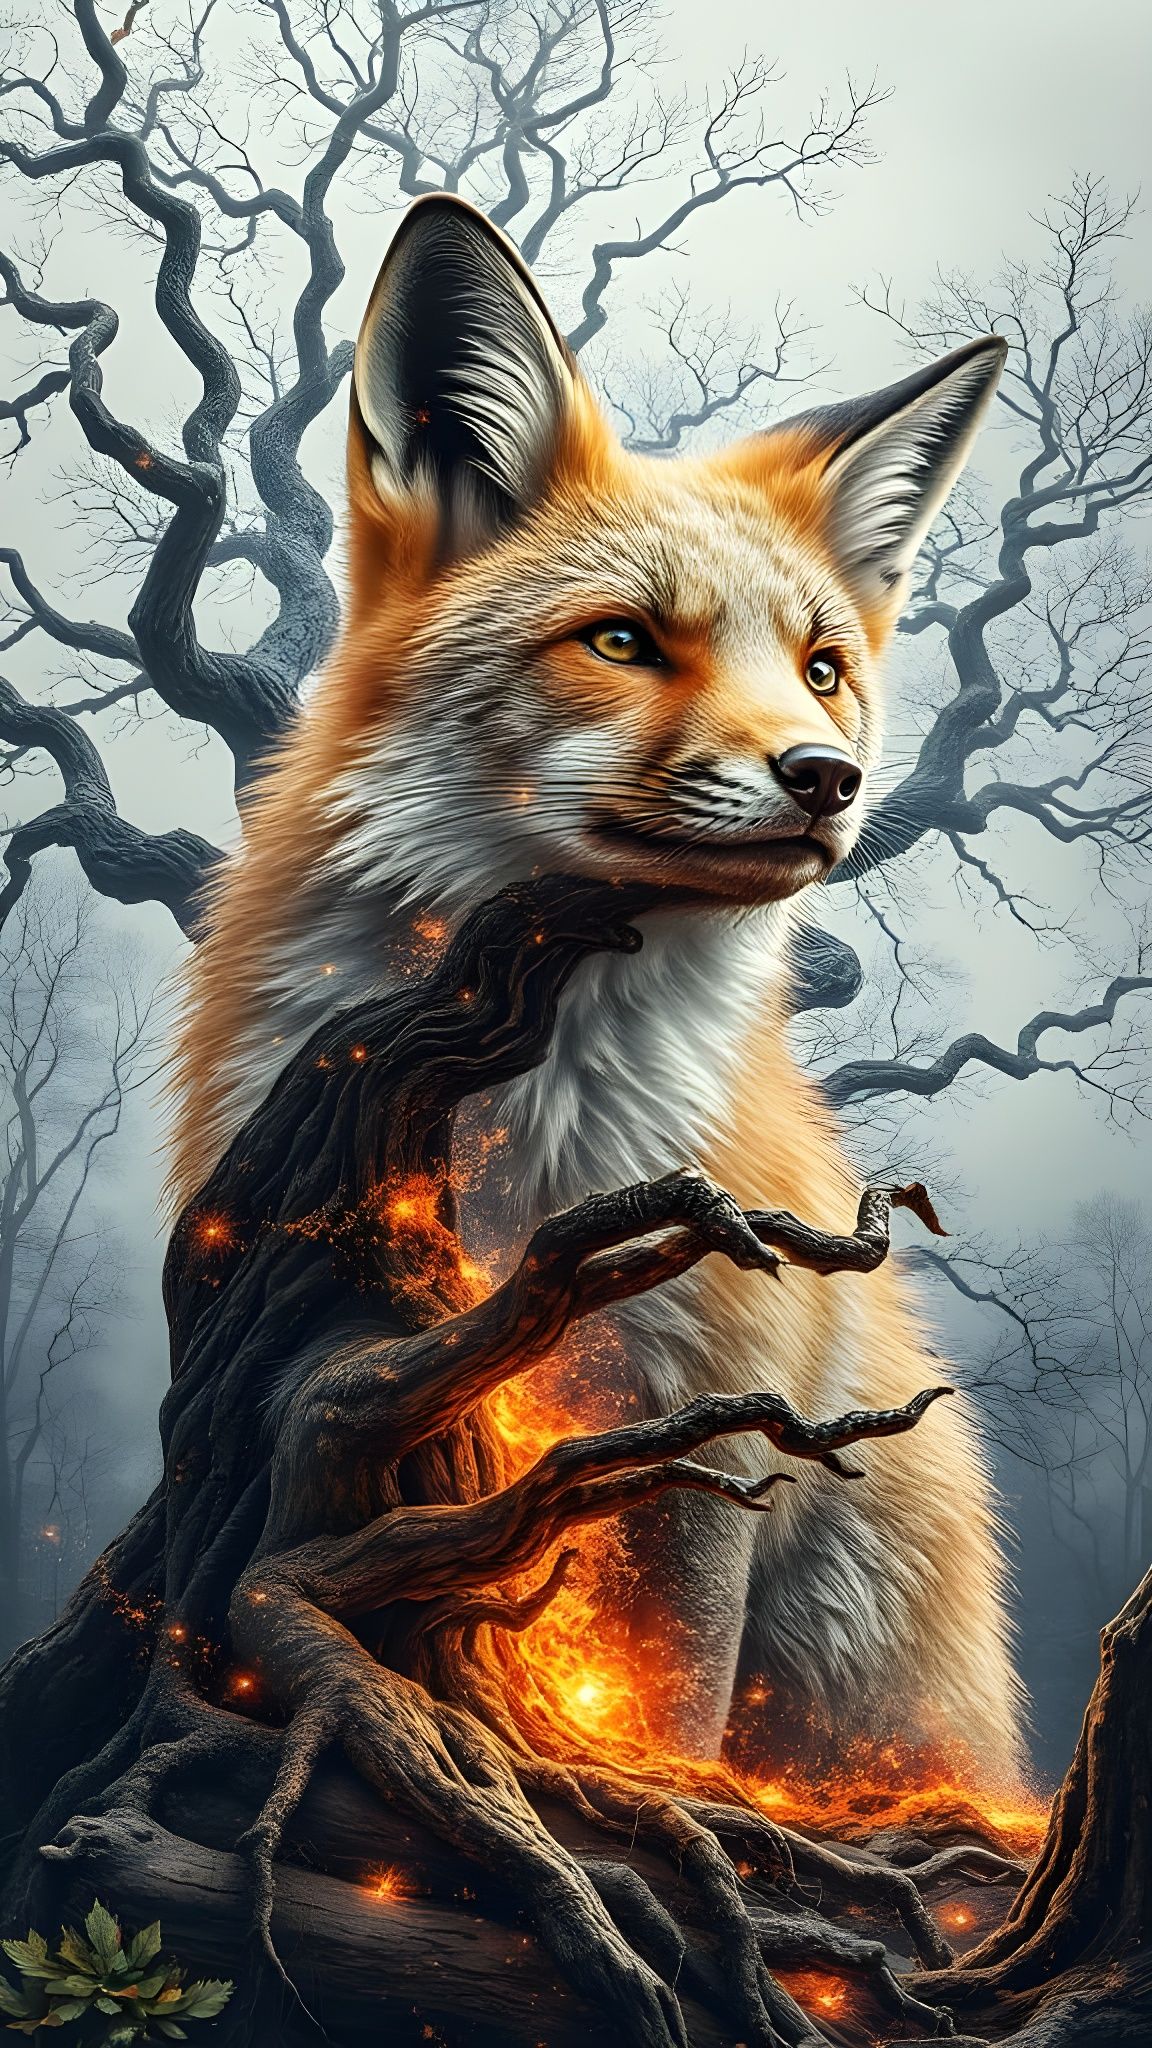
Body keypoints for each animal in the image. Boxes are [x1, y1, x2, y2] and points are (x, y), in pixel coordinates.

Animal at [170, 193, 1027, 1787]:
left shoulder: (710, 1432)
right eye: (623, 640)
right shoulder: (325, 1346)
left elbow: (671, 1708)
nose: (829, 779)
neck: (524, 1125)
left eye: (824, 668)